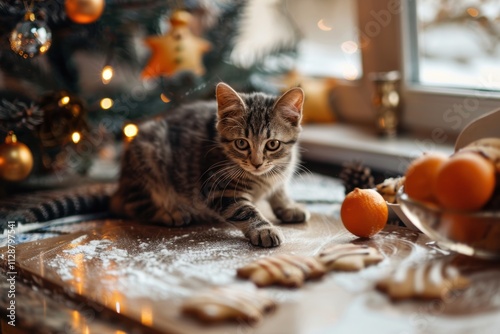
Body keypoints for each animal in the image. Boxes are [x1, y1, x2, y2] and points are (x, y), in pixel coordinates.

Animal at [110, 82, 308, 247]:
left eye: (273, 144)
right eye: (241, 143)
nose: (257, 163)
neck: (264, 176)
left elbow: (279, 190)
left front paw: (289, 206)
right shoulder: (219, 189)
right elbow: (245, 210)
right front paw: (263, 229)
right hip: (149, 155)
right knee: (129, 204)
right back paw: (170, 214)